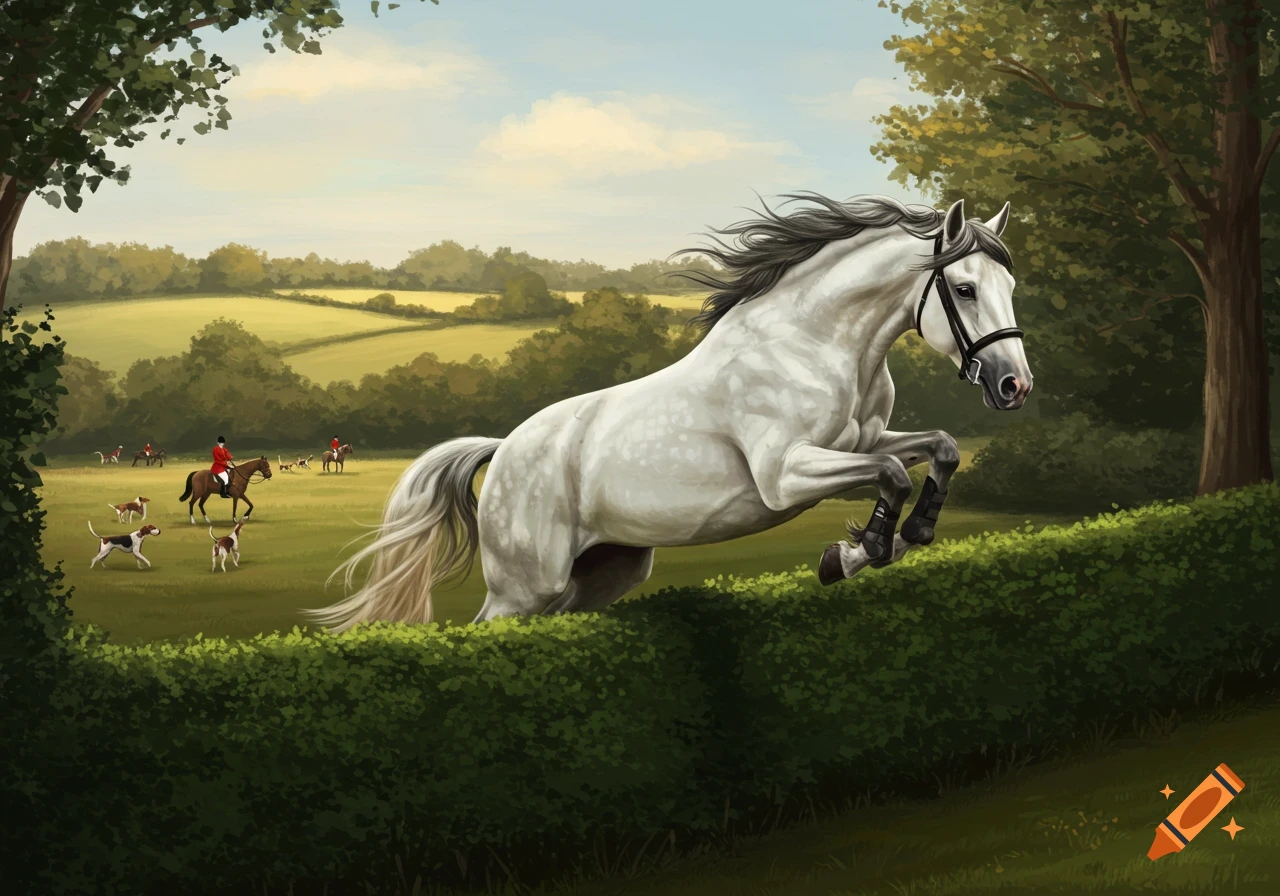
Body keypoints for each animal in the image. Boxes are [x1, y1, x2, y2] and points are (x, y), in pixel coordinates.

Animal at [306, 194, 1033, 633]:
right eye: (964, 289)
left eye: (1009, 284)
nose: (1015, 385)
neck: (814, 342)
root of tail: (504, 448)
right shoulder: (786, 474)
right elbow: (892, 473)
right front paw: (858, 553)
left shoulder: (865, 438)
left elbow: (938, 448)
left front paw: (894, 541)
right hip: (523, 587)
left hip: (604, 572)